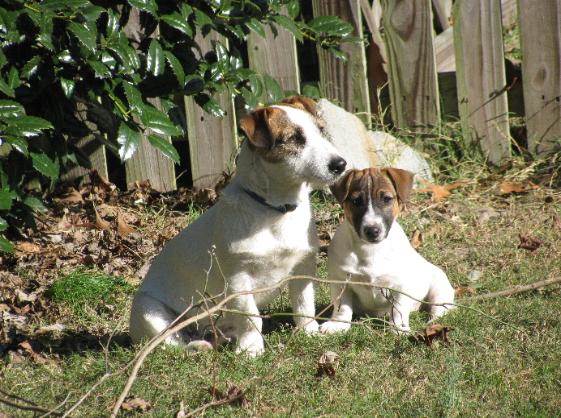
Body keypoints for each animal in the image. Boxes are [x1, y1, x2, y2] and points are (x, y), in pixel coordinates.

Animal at [129, 96, 347, 356]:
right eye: (294, 138)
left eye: (321, 130)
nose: (341, 164)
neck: (275, 211)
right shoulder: (238, 279)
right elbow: (251, 316)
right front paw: (252, 347)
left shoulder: (303, 267)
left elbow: (304, 305)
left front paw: (308, 332)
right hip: (148, 311)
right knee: (170, 344)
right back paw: (196, 345)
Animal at [320, 168, 454, 334]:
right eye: (356, 201)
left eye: (387, 199)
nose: (372, 231)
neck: (371, 249)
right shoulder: (340, 282)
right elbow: (342, 307)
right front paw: (337, 325)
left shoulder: (401, 285)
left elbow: (398, 309)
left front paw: (398, 328)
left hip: (440, 290)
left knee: (438, 310)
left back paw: (432, 324)